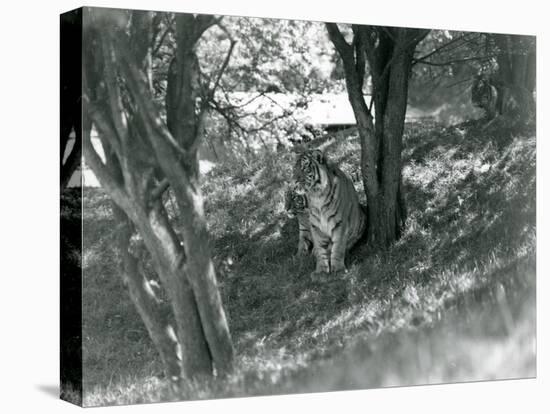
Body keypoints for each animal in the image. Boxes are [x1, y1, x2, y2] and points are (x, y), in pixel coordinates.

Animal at [294, 149, 366, 278]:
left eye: (305, 168)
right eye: (294, 169)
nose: (294, 181)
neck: (316, 195)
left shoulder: (340, 223)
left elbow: (338, 247)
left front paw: (338, 269)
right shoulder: (315, 226)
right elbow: (320, 248)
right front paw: (321, 271)